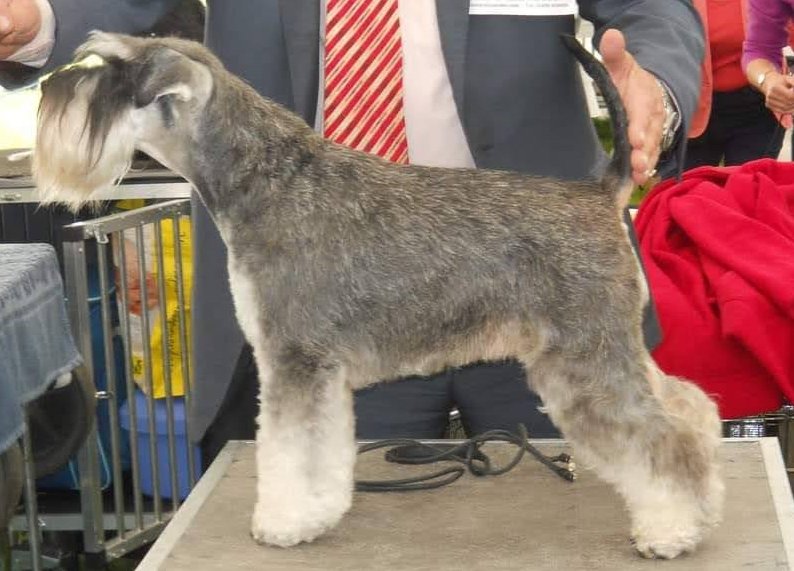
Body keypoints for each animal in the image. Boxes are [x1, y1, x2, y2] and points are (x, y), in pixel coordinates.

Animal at [33, 32, 723, 559]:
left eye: (110, 75)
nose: (46, 91)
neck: (262, 177)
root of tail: (600, 191)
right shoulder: (320, 372)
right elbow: (320, 452)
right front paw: (314, 513)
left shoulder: (293, 361)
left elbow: (287, 452)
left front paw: (281, 523)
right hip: (605, 350)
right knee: (689, 407)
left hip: (585, 360)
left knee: (663, 438)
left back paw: (672, 530)